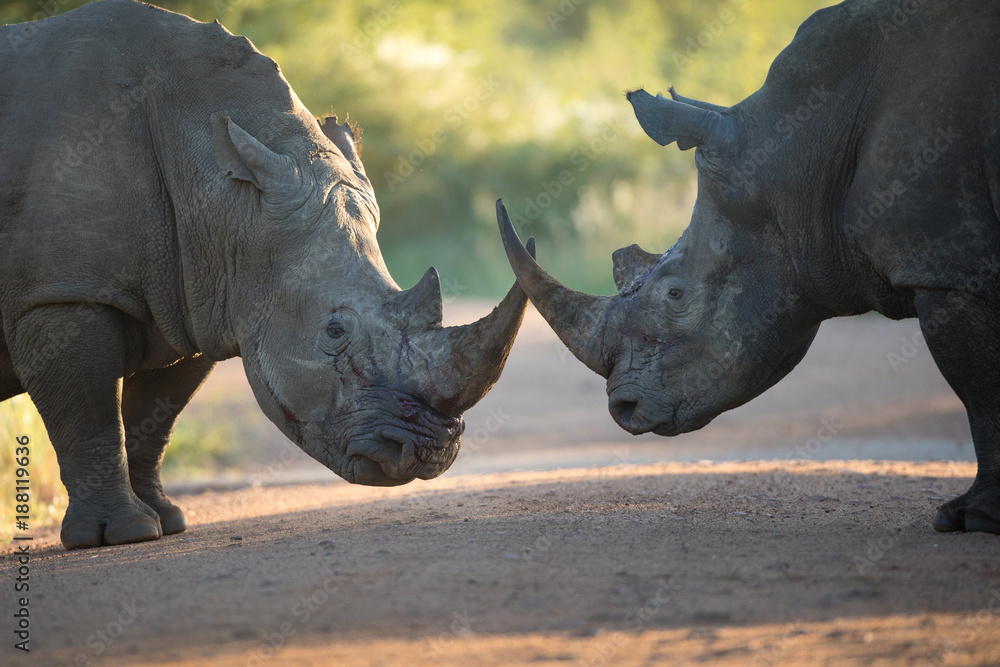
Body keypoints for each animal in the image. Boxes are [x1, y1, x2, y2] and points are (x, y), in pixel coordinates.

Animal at [0, 0, 533, 549]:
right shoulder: (61, 295)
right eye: (334, 330)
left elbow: (154, 419)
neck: (226, 198)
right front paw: (121, 535)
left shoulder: (194, 295)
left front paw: (166, 520)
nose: (431, 453)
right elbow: (92, 416)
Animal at [498, 0, 1000, 533]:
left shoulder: (949, 270)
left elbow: (979, 390)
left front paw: (972, 517)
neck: (801, 153)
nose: (623, 408)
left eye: (674, 294)